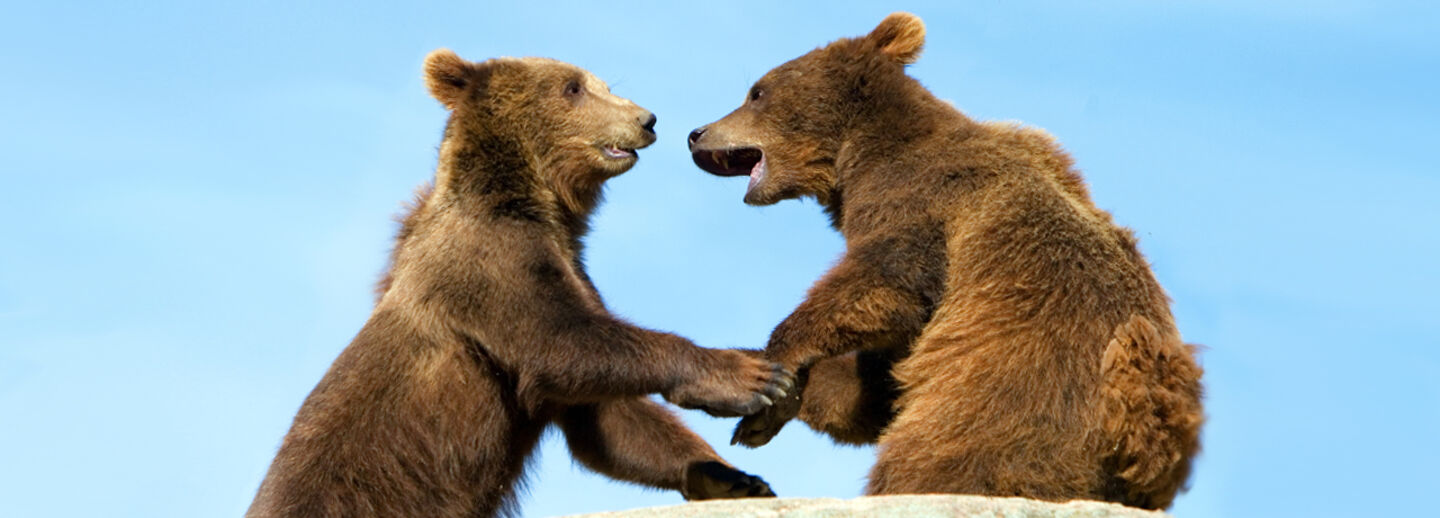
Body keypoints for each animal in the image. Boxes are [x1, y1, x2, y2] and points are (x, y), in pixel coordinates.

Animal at [247, 49, 794, 518]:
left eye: (604, 85)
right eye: (573, 87)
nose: (647, 119)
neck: (534, 200)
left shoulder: (567, 266)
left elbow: (605, 419)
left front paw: (733, 477)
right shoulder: (492, 264)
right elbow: (561, 343)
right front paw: (750, 375)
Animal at [686, 13, 1203, 510]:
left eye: (757, 91)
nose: (696, 133)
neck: (858, 154)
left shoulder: (921, 201)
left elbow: (885, 281)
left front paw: (774, 372)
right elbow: (874, 387)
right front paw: (751, 387)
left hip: (1009, 401)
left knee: (938, 459)